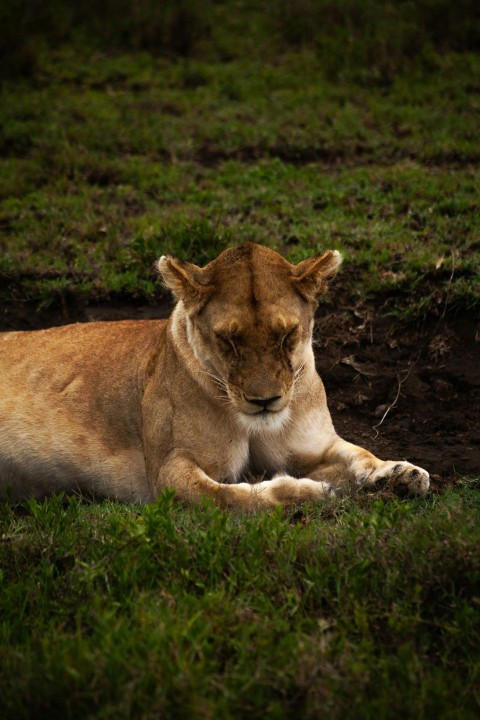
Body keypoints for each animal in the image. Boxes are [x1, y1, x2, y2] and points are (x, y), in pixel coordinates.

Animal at [0, 245, 428, 510]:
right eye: (227, 339)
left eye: (287, 335)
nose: (264, 401)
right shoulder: (167, 471)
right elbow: (232, 498)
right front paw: (307, 493)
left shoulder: (315, 447)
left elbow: (357, 454)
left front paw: (398, 474)